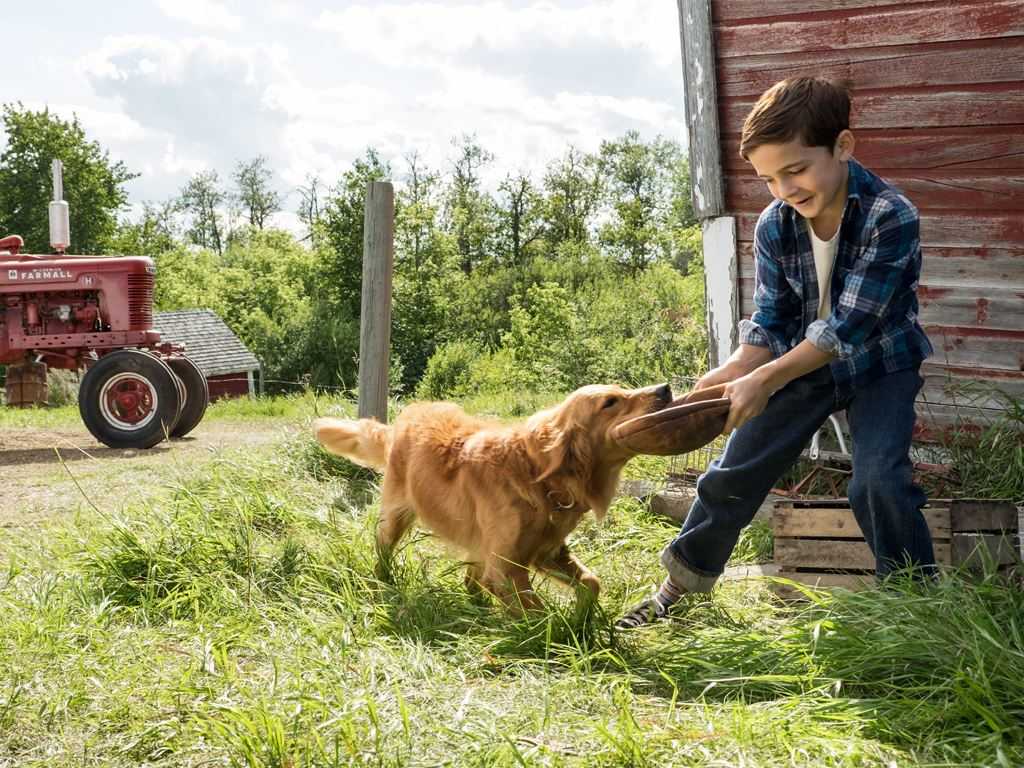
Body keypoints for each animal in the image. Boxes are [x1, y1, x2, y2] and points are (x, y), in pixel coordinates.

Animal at [311, 385, 671, 614]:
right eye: (610, 401)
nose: (665, 389)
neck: (539, 477)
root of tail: (405, 417)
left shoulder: (547, 551)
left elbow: (592, 582)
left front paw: (584, 620)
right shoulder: (507, 567)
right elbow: (539, 612)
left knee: (471, 579)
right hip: (395, 518)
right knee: (384, 553)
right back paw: (384, 581)